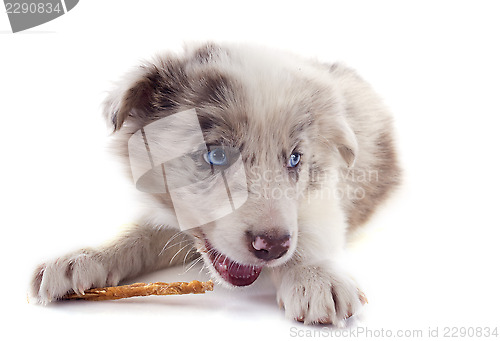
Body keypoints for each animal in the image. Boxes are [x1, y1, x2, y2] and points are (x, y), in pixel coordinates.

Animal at [30, 42, 398, 324]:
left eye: (295, 159)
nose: (273, 246)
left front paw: (315, 275)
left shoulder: (324, 198)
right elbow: (138, 234)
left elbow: (309, 234)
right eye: (217, 156)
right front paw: (84, 257)